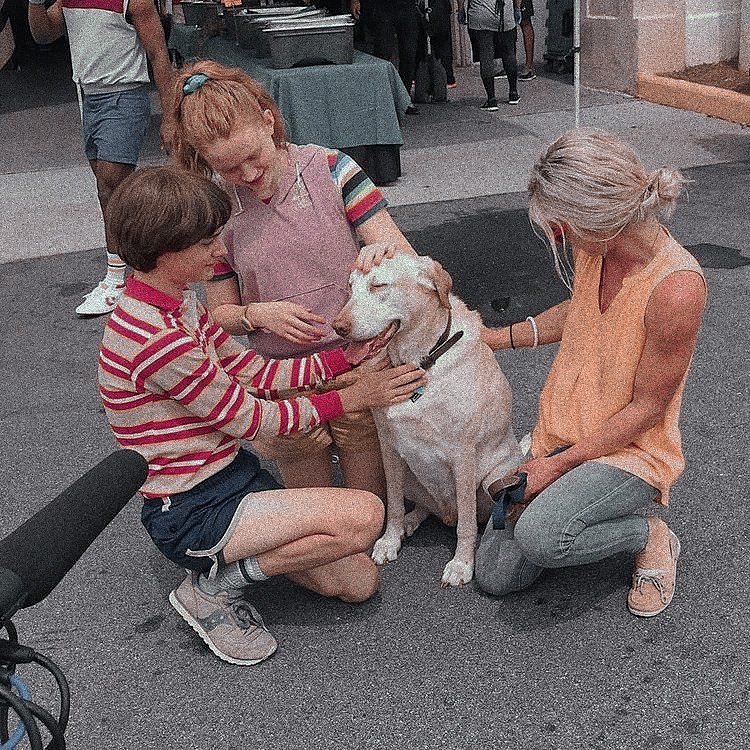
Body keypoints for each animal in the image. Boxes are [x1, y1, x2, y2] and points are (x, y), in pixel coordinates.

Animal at [334, 256, 524, 592]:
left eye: (378, 285)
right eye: (350, 289)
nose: (338, 327)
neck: (418, 363)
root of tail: (445, 514)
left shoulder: (463, 454)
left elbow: (466, 524)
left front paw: (462, 564)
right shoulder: (388, 447)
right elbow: (394, 503)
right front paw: (390, 539)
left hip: (494, 479)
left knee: (477, 514)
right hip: (409, 473)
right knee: (424, 507)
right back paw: (411, 522)